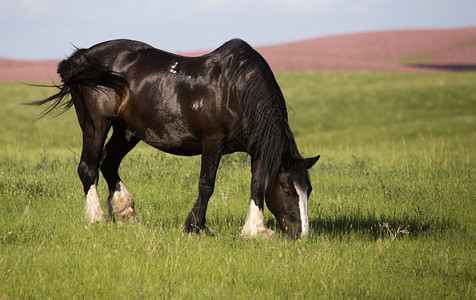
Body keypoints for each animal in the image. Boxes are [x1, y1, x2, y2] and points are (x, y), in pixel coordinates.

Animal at [30, 38, 320, 239]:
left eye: (308, 190)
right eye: (287, 191)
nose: (302, 235)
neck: (238, 90)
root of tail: (84, 57)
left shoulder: (259, 149)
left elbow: (257, 185)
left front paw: (255, 230)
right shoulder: (212, 143)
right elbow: (207, 184)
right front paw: (196, 227)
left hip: (127, 132)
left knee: (108, 163)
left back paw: (126, 214)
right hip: (96, 125)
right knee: (88, 168)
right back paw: (97, 218)